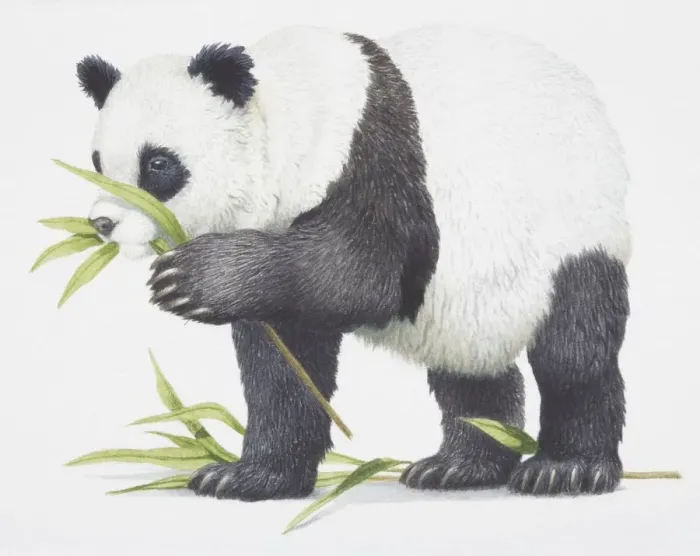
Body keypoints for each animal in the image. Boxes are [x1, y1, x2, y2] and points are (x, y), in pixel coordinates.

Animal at [78, 25, 632, 501]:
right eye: (98, 163)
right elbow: (283, 364)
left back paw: (566, 468)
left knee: (574, 350)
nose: (103, 223)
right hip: (471, 300)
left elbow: (359, 274)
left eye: (158, 164)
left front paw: (189, 278)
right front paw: (249, 476)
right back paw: (462, 464)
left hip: (571, 232)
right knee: (469, 370)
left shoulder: (374, 160)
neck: (287, 113)